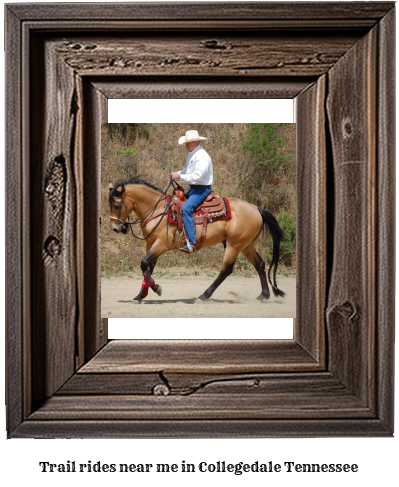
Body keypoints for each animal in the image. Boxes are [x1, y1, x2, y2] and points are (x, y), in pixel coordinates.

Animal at [108, 177, 286, 304]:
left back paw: (204, 295)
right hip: (247, 246)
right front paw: (140, 295)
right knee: (260, 265)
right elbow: (147, 268)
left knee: (226, 270)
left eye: (116, 205)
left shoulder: (161, 244)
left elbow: (144, 264)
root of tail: (256, 208)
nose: (116, 228)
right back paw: (263, 295)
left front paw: (157, 288)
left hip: (234, 245)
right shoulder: (150, 244)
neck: (158, 210)